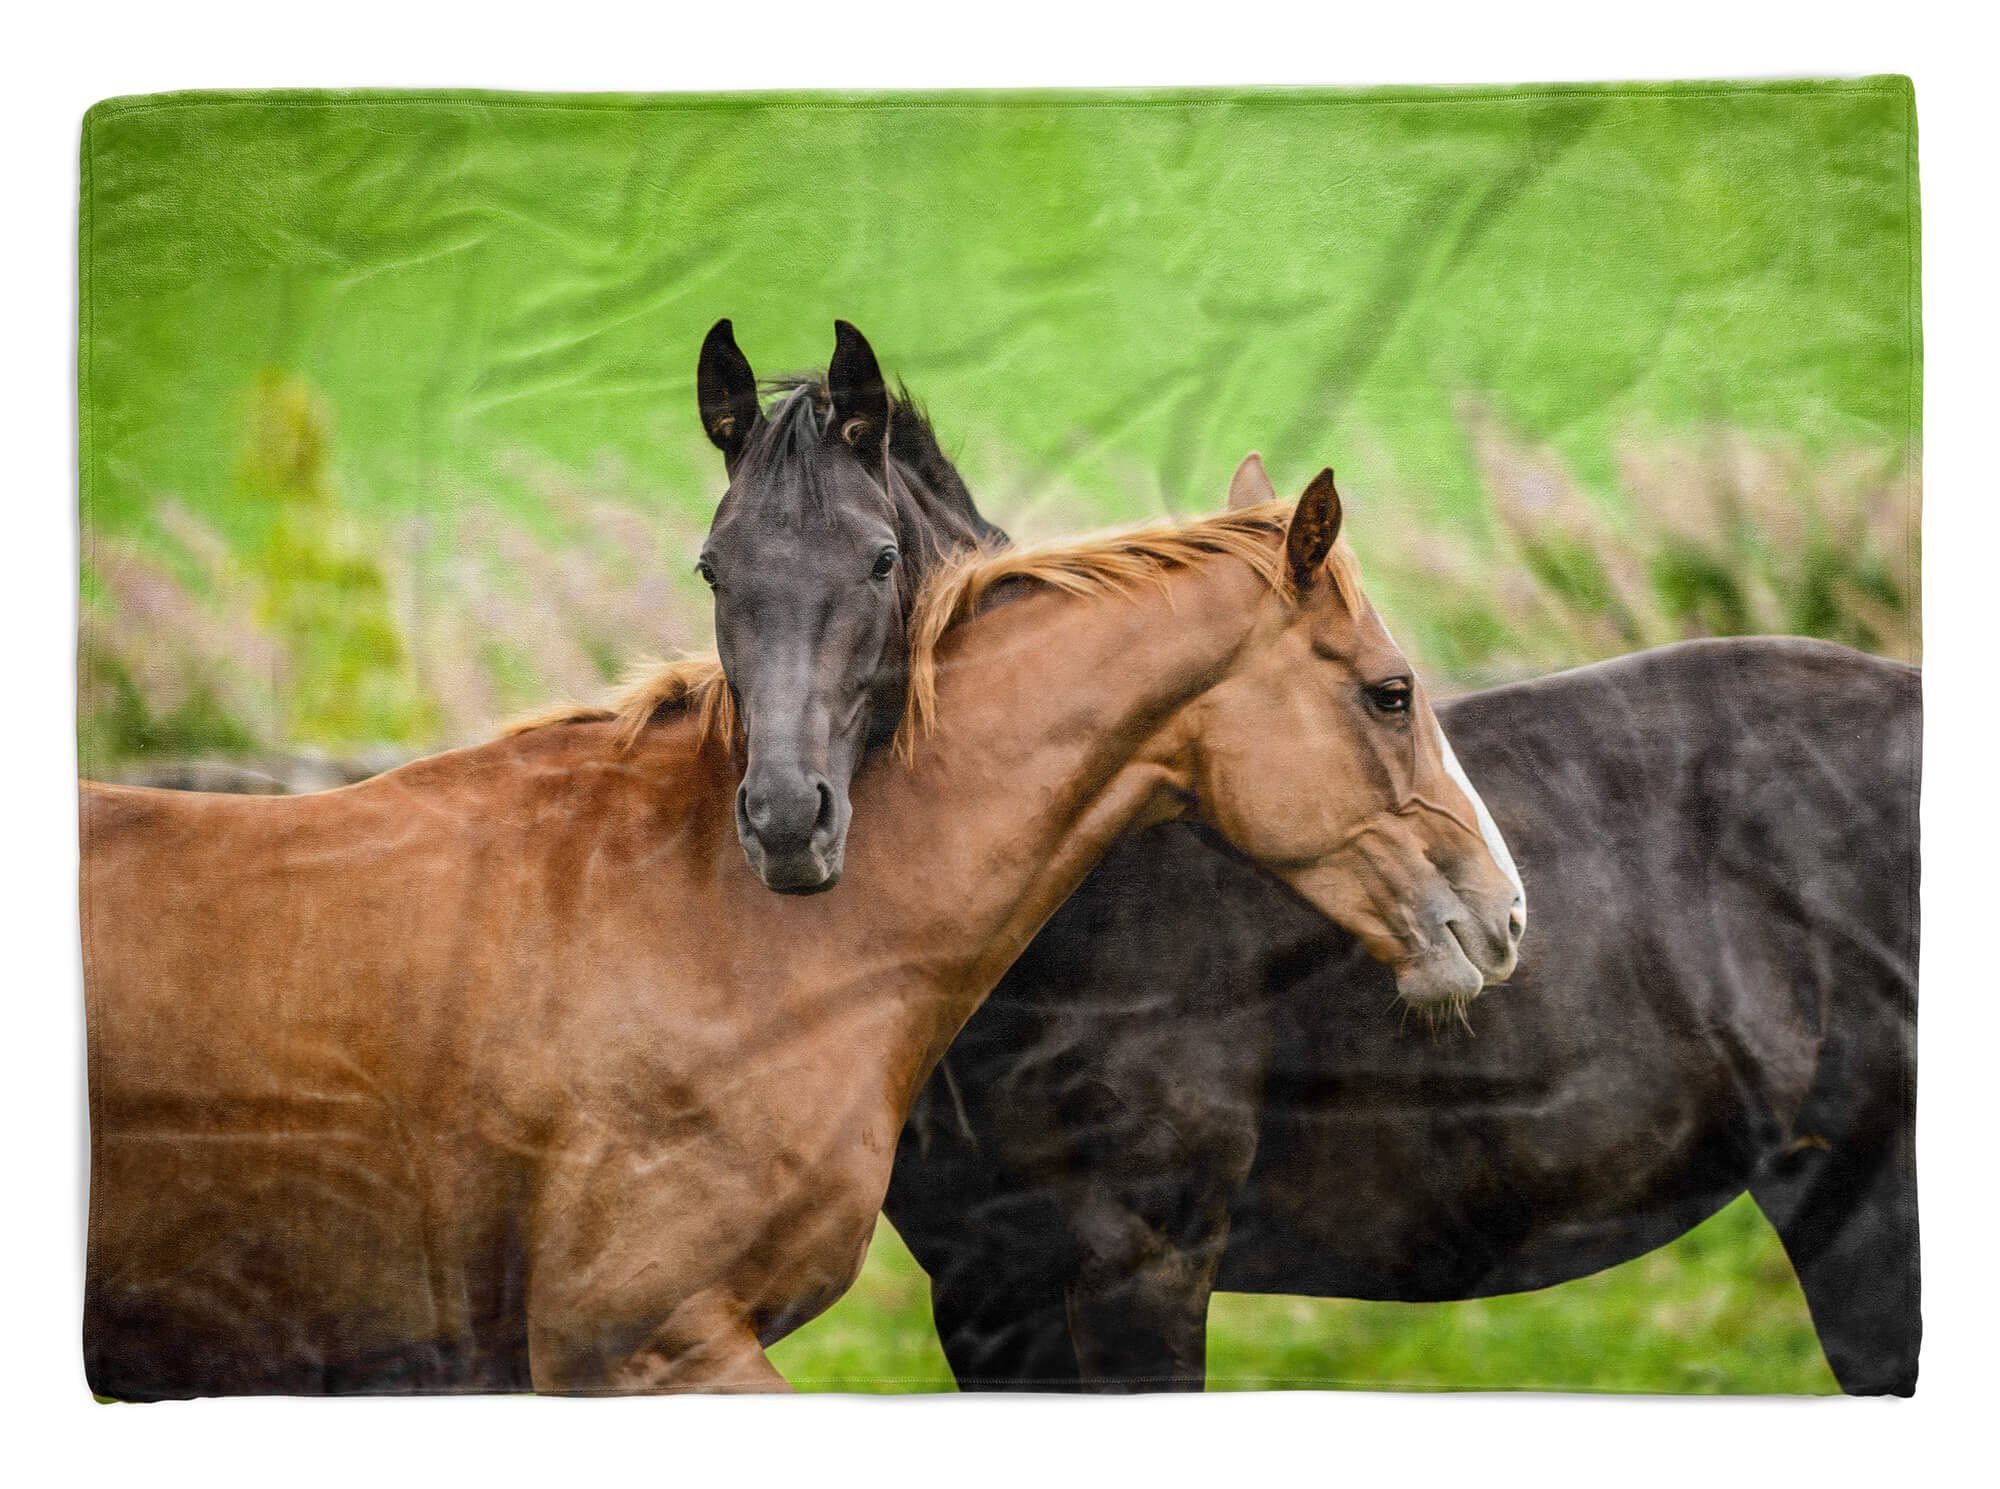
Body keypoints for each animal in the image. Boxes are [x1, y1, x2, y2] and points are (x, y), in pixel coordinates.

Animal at [692, 316, 1920, 1392]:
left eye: (880, 560)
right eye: (713, 567)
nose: (789, 819)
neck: (1073, 923)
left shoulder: (1143, 1267)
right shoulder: (985, 1291)